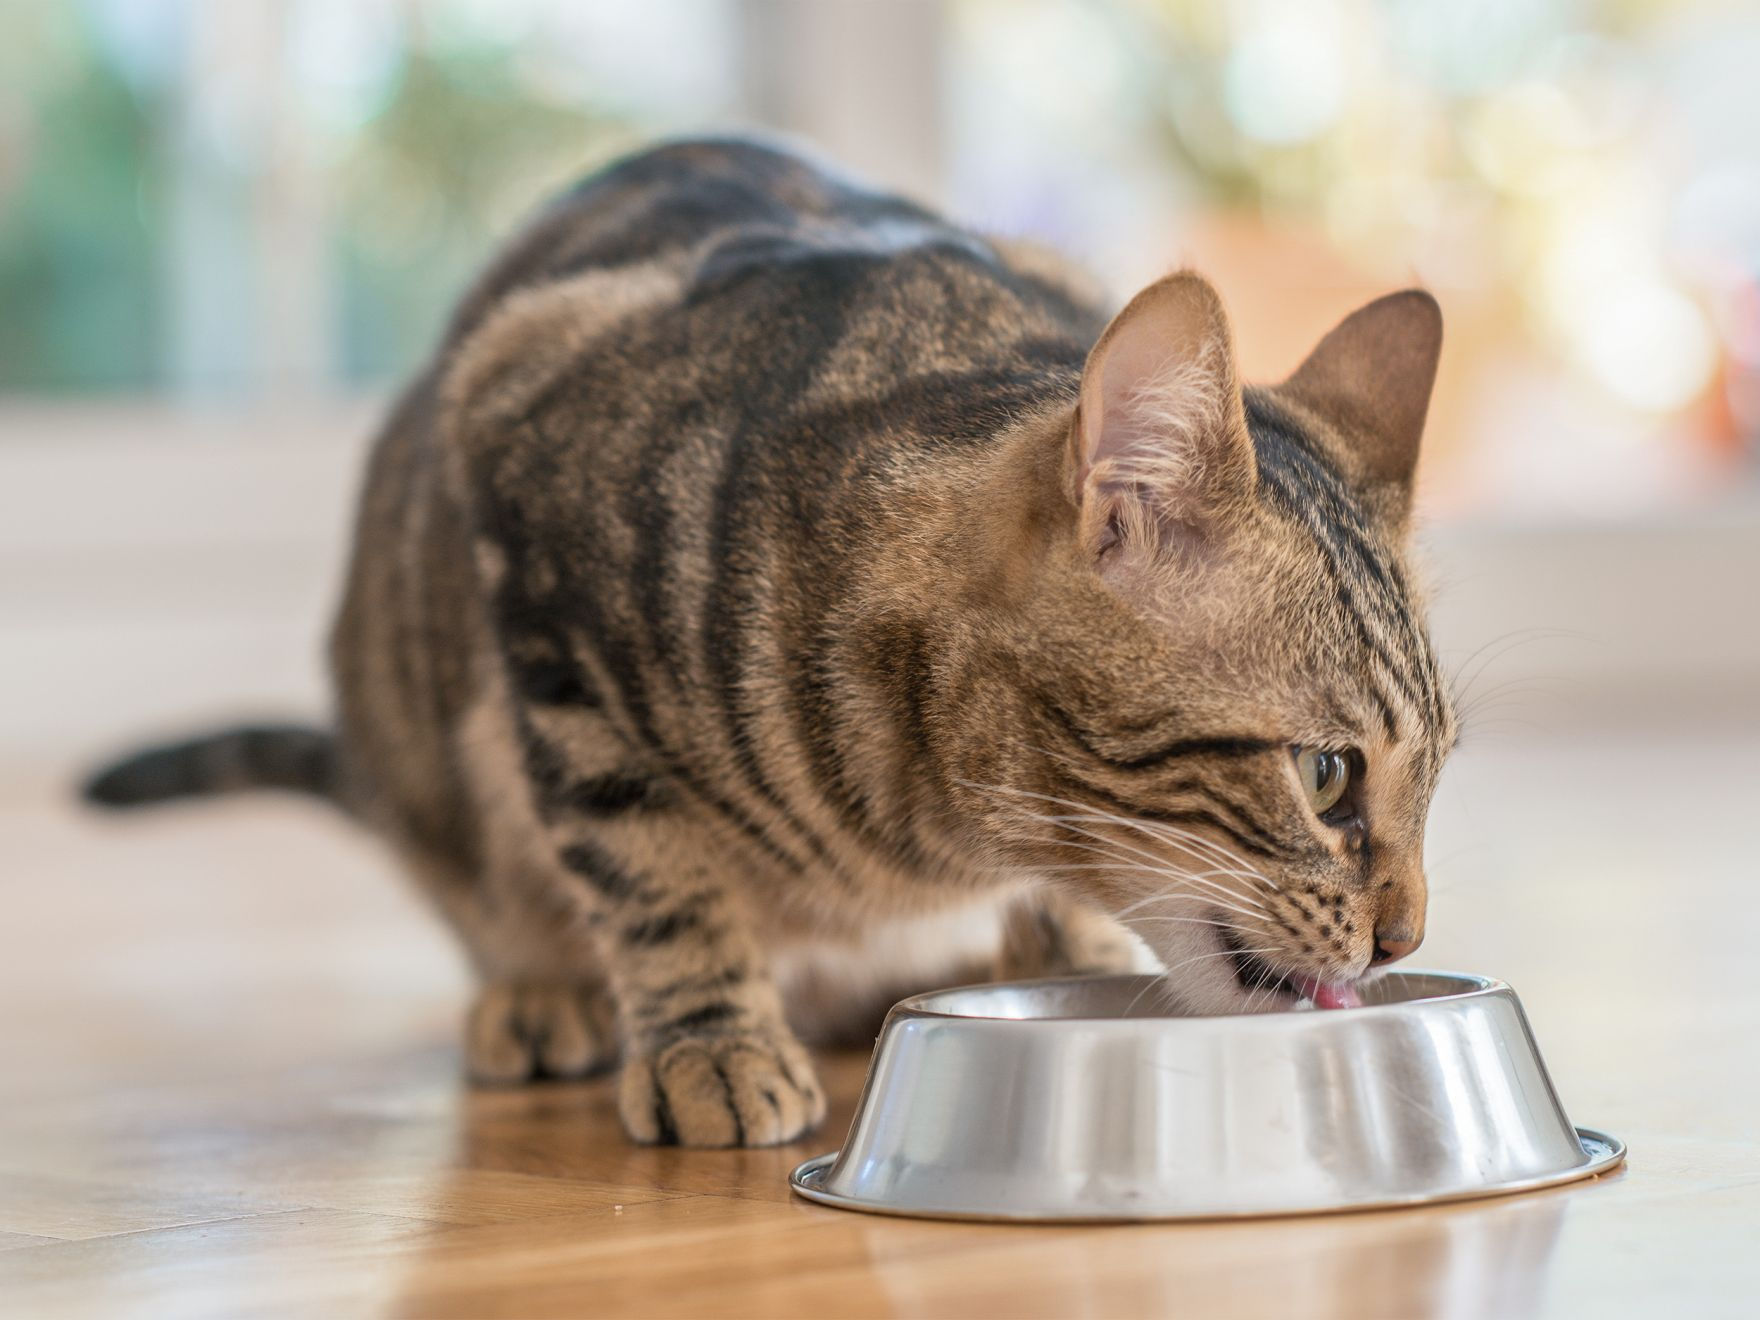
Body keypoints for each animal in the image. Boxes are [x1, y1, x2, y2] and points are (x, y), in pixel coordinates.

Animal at [85, 137, 1457, 1147]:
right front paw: (708, 1041)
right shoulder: (529, 513)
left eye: (1434, 777)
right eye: (1325, 775)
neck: (933, 833)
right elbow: (648, 870)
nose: (1406, 939)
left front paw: (1062, 940)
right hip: (417, 726)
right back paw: (544, 992)